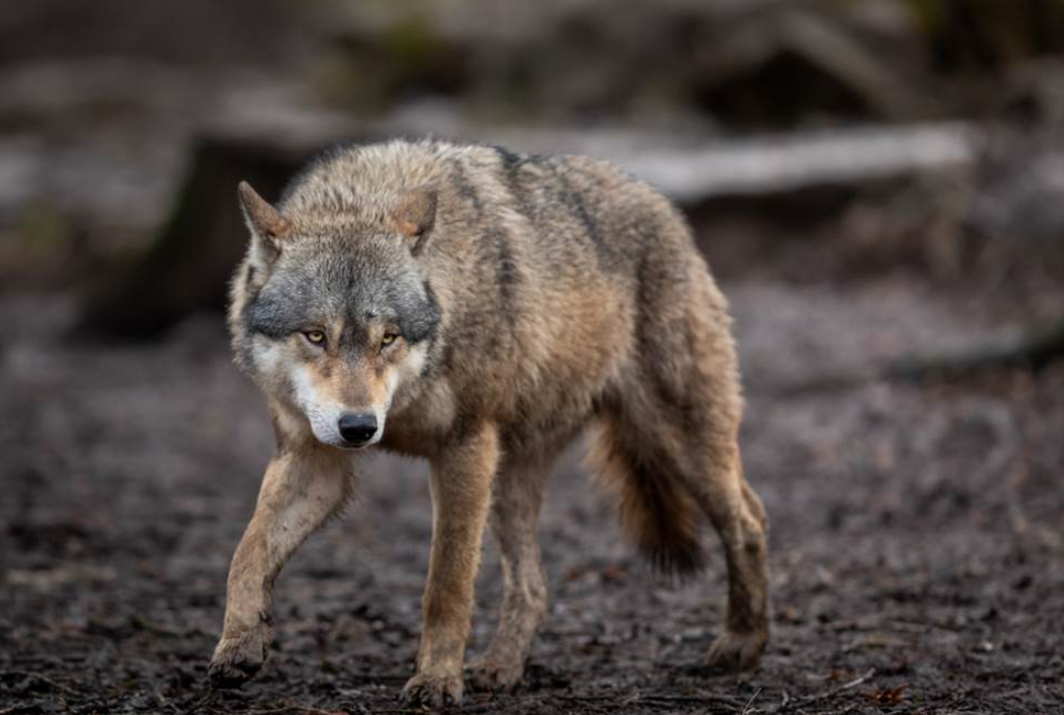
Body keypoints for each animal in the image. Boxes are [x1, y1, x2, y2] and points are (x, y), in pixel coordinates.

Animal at [207, 138, 770, 702]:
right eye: (316, 335)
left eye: (387, 338)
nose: (360, 428)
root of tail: (664, 206)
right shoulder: (314, 459)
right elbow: (246, 553)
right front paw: (239, 644)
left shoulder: (464, 448)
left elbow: (447, 585)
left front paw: (436, 679)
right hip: (510, 482)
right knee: (535, 586)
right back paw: (501, 667)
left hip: (676, 442)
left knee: (749, 519)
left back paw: (743, 641)